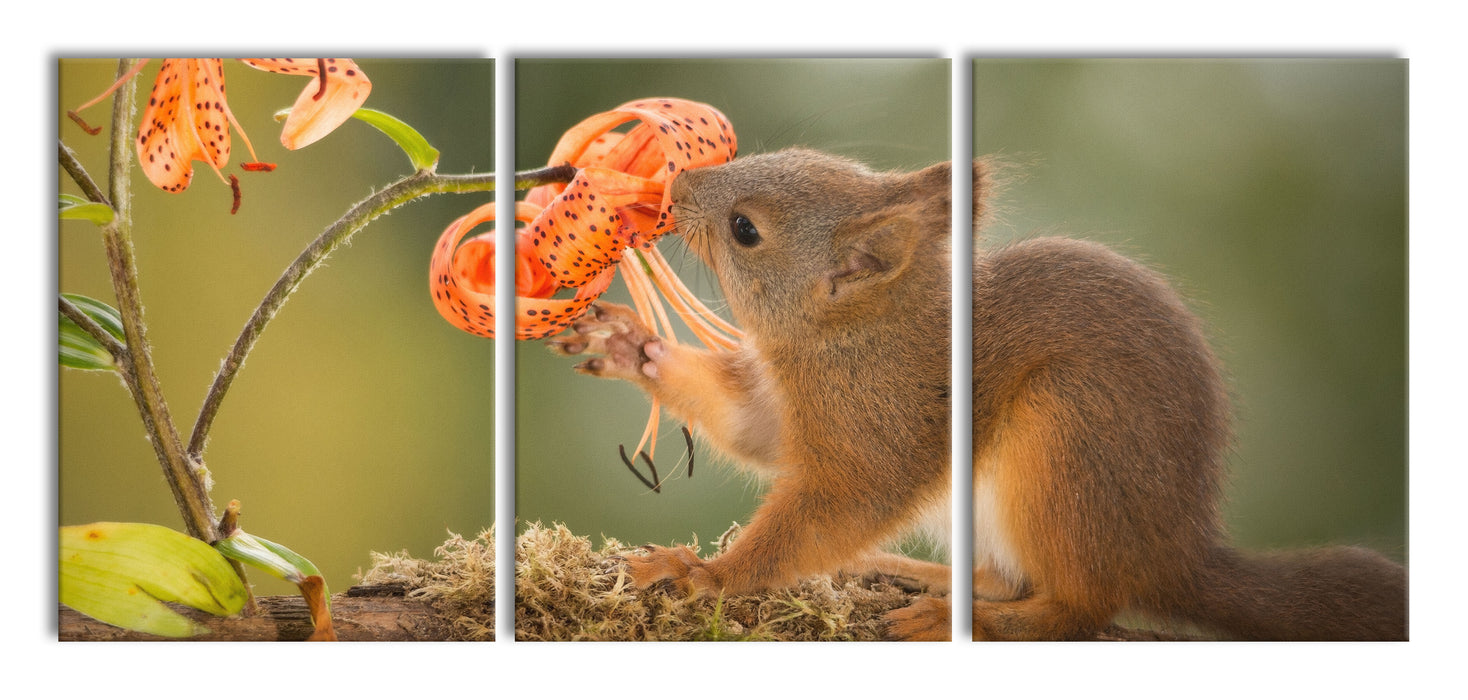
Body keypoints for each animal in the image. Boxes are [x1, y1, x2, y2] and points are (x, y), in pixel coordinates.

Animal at [549, 147, 1397, 639]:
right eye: (787, 150)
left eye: (744, 230)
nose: (677, 182)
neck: (854, 335)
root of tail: (1172, 551)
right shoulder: (791, 410)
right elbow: (752, 429)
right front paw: (630, 345)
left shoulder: (881, 426)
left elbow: (828, 512)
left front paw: (706, 575)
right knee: (1006, 577)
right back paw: (920, 576)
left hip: (1069, 443)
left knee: (1075, 607)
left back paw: (970, 621)